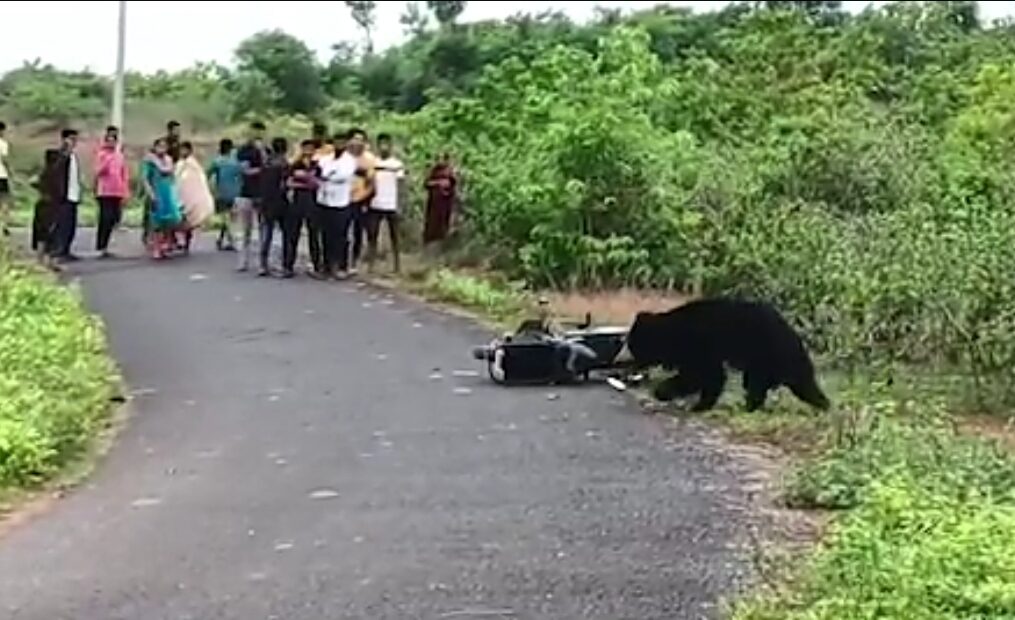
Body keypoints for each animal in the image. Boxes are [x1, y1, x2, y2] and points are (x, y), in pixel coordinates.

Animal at [625, 300, 832, 414]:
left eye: (636, 349)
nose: (632, 367)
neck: (673, 332)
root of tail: (796, 338)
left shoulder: (699, 345)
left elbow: (703, 375)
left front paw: (663, 392)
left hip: (768, 356)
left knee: (761, 384)